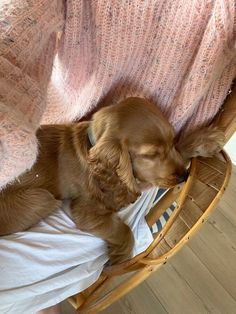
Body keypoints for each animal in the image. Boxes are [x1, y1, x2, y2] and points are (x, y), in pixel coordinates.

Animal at [0, 97, 224, 264]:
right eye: (151, 154)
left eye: (171, 141)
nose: (183, 176)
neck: (89, 144)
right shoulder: (88, 209)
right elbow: (122, 228)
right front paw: (121, 255)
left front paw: (205, 140)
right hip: (41, 198)